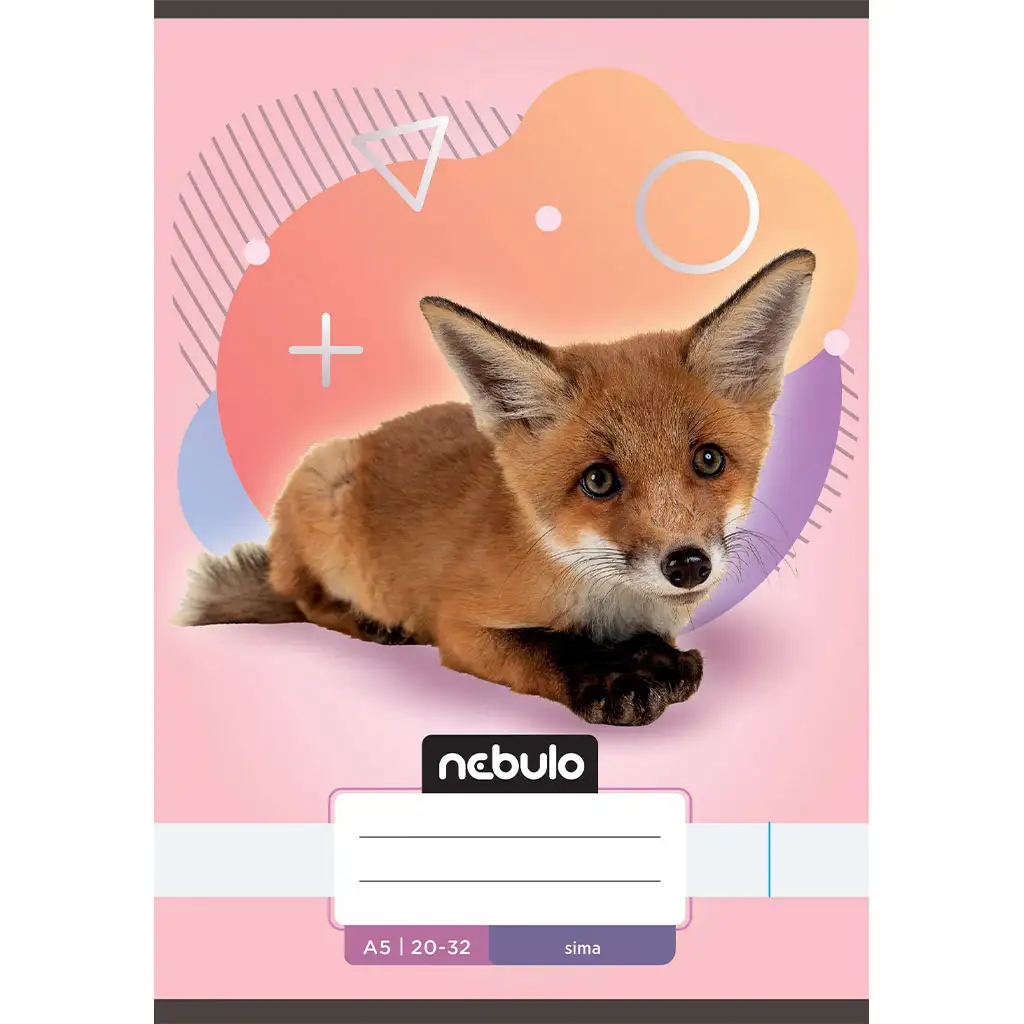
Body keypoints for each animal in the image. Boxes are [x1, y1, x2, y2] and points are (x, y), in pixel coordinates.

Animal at [178, 249, 816, 726]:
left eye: (708, 460)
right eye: (599, 480)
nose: (687, 565)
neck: (603, 603)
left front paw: (653, 659)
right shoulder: (459, 627)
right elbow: (543, 647)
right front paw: (608, 676)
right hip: (321, 483)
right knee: (306, 601)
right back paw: (371, 623)